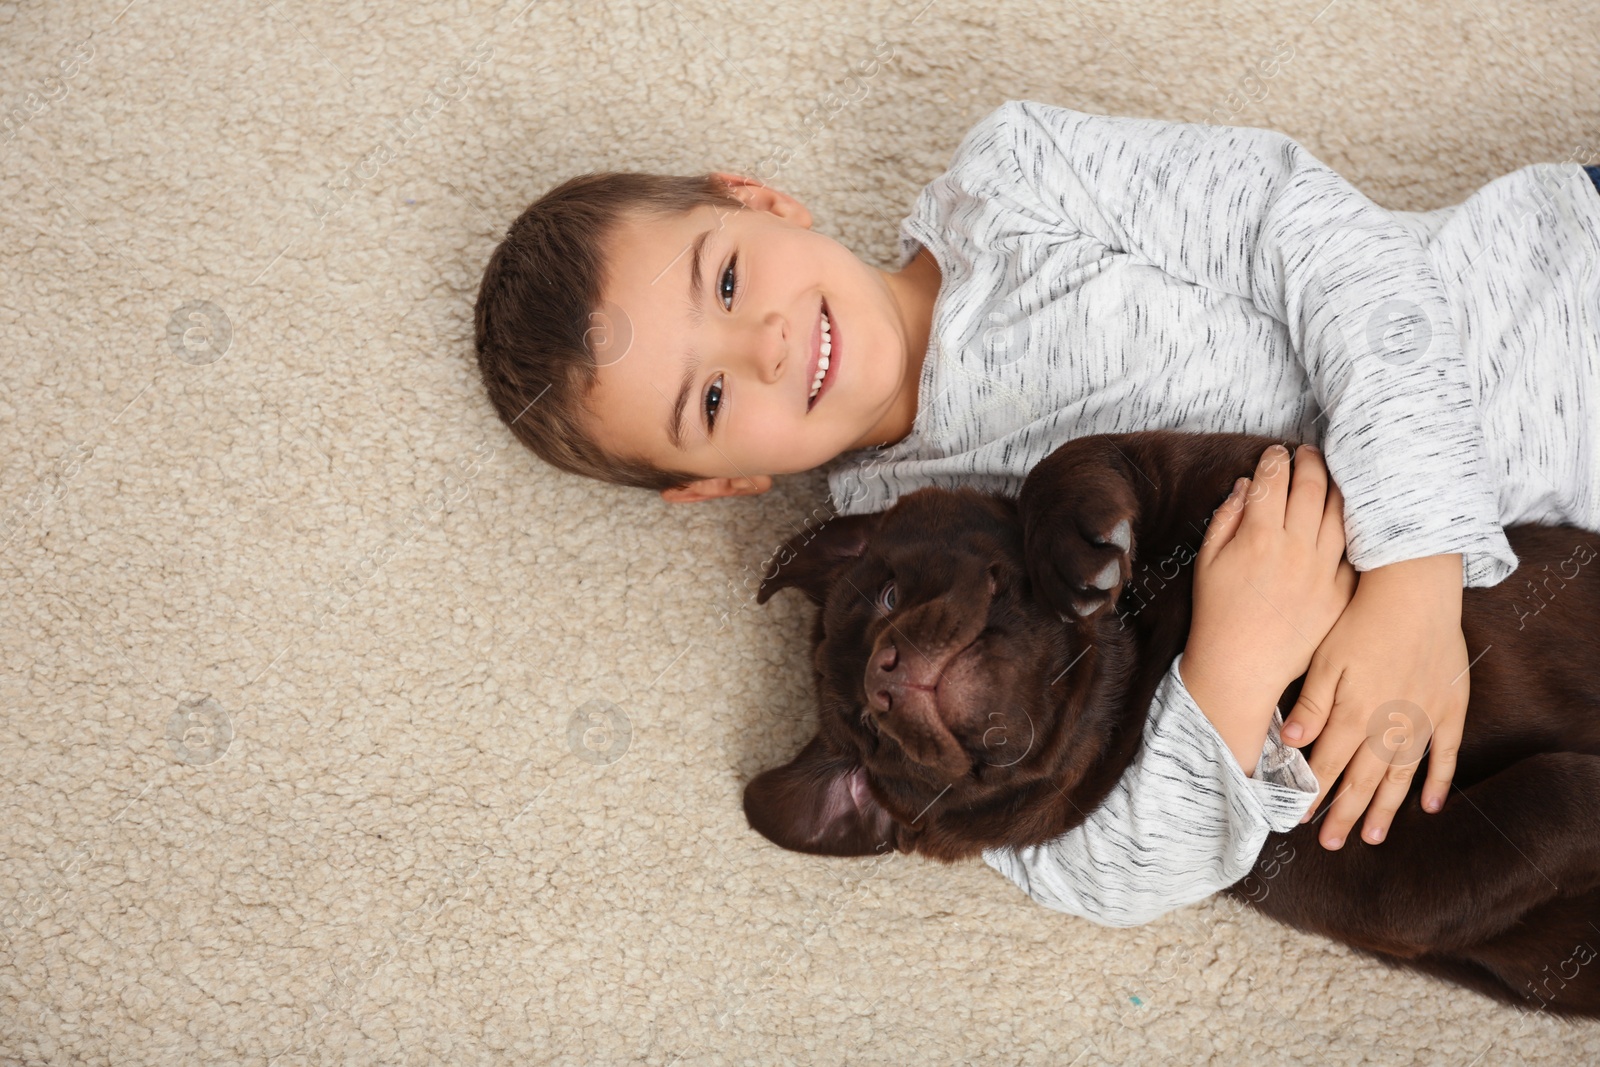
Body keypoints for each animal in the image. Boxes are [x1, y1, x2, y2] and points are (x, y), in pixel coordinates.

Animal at [745, 428, 1600, 1017]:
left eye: (889, 595)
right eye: (867, 729)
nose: (882, 675)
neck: (1134, 671)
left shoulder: (1239, 477)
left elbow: (1083, 456)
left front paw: (1073, 542)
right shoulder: (1372, 865)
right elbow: (1547, 798)